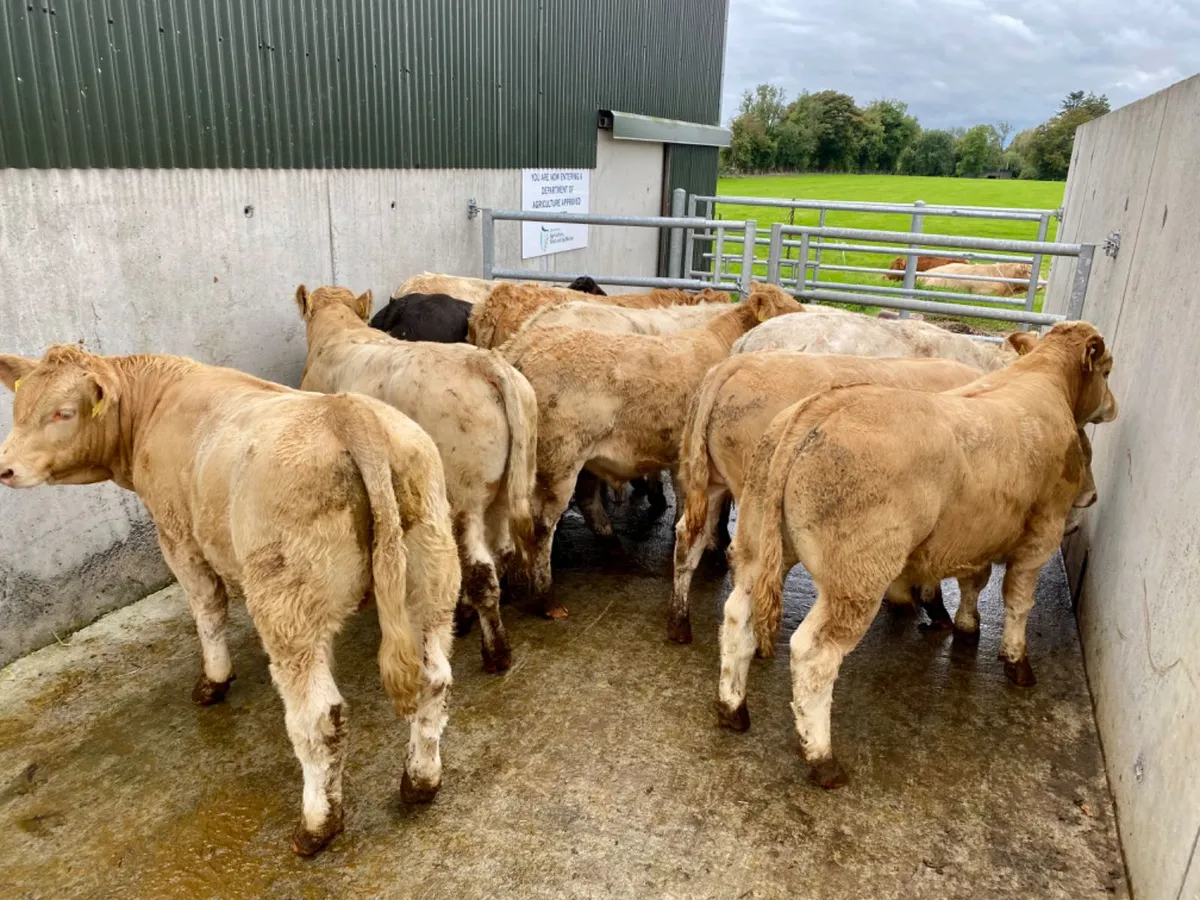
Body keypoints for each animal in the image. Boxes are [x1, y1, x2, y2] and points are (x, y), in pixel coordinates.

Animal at [0, 340, 460, 854]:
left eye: (62, 412)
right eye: (18, 408)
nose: (6, 468)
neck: (157, 400)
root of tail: (345, 412)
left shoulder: (177, 535)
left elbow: (207, 609)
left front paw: (214, 680)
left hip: (285, 603)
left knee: (318, 718)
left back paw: (316, 826)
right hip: (430, 582)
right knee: (433, 682)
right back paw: (420, 782)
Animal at [295, 286, 535, 672]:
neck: (339, 333)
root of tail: (485, 363)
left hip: (463, 496)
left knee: (479, 570)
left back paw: (495, 652)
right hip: (505, 488)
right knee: (501, 553)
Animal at [710, 321, 1113, 787]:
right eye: (1107, 369)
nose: (1113, 408)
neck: (1040, 380)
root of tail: (820, 407)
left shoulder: (975, 533)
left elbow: (974, 582)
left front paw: (966, 625)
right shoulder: (1040, 534)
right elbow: (1017, 602)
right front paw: (1016, 662)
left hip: (759, 542)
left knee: (737, 618)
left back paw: (732, 708)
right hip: (856, 576)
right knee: (814, 656)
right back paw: (822, 759)